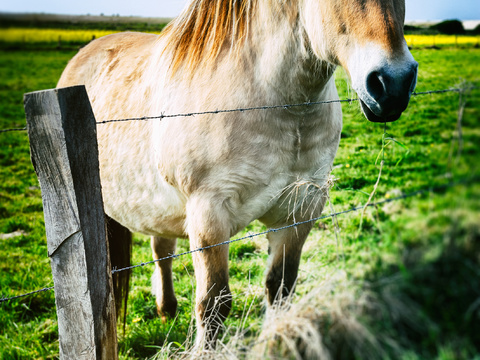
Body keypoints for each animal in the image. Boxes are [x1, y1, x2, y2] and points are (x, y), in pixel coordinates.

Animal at [55, 0, 416, 348]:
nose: (394, 83)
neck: (273, 103)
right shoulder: (209, 216)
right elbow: (214, 306)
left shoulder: (301, 209)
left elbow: (280, 288)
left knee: (161, 250)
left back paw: (166, 309)